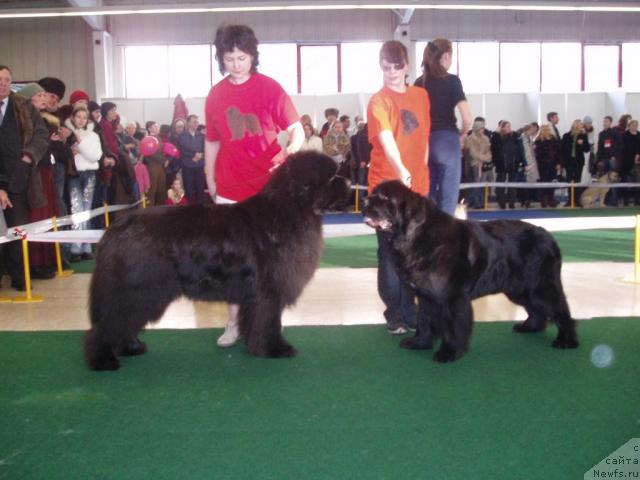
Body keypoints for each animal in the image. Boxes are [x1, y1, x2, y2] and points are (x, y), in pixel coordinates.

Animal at [85, 152, 350, 370]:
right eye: (331, 177)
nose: (349, 183)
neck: (290, 208)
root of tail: (116, 226)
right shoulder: (267, 291)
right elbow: (268, 320)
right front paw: (275, 349)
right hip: (136, 289)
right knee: (108, 322)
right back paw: (102, 360)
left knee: (122, 321)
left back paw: (130, 348)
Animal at [364, 182, 580, 362]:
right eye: (374, 192)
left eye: (384, 197)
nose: (365, 199)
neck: (416, 236)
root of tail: (548, 235)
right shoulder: (426, 295)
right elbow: (424, 320)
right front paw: (419, 343)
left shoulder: (452, 297)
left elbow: (452, 325)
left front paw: (449, 353)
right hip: (519, 288)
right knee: (536, 309)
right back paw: (529, 327)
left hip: (540, 285)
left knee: (560, 310)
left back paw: (566, 341)